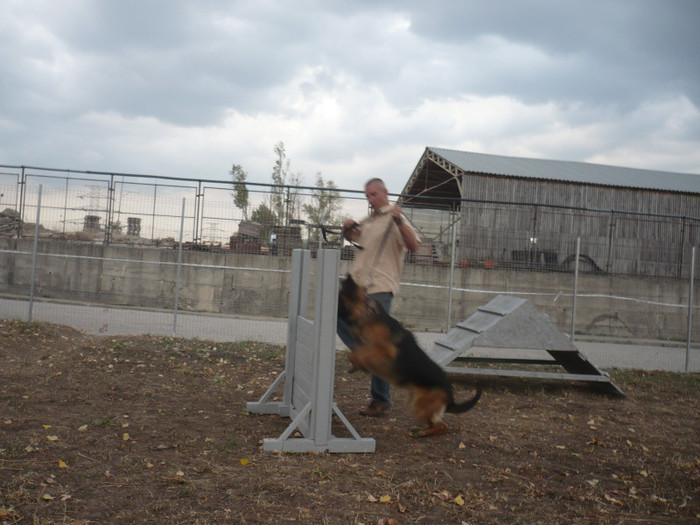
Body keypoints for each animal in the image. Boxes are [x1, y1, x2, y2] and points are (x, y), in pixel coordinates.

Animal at [338, 274, 482, 438]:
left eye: (342, 295)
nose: (347, 275)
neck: (366, 312)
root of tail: (450, 396)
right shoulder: (364, 345)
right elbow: (355, 351)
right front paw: (357, 365)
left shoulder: (385, 349)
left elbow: (357, 353)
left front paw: (358, 363)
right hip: (414, 403)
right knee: (436, 422)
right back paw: (420, 429)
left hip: (420, 404)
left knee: (442, 425)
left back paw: (423, 433)